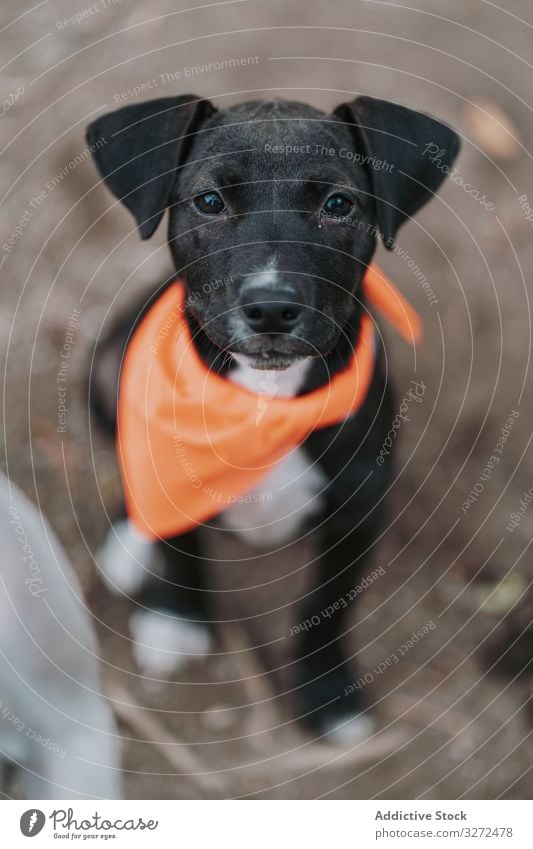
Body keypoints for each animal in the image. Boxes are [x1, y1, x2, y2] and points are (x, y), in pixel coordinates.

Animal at [86, 94, 458, 744]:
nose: (271, 308)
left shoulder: (358, 513)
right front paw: (177, 618)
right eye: (210, 200)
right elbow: (182, 551)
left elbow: (327, 610)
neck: (263, 399)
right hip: (106, 371)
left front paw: (328, 693)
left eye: (338, 204)